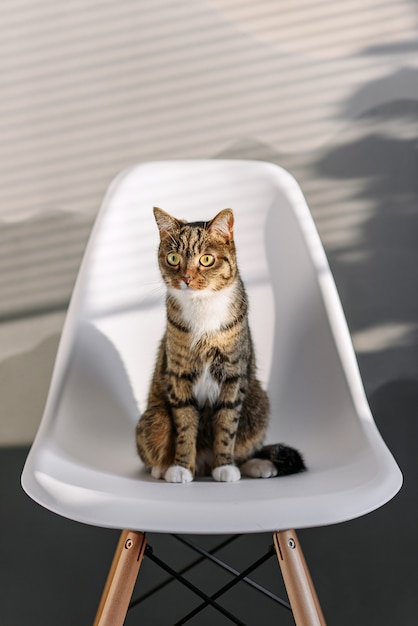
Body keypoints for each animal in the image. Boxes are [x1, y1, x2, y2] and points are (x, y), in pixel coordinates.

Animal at [136, 206, 306, 482]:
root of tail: (203, 464)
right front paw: (181, 467)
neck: (202, 306)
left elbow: (227, 425)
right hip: (155, 417)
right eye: (173, 258)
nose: (186, 278)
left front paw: (224, 466)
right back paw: (163, 468)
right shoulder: (179, 375)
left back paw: (257, 465)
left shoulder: (233, 375)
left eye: (206, 259)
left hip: (258, 404)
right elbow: (185, 424)